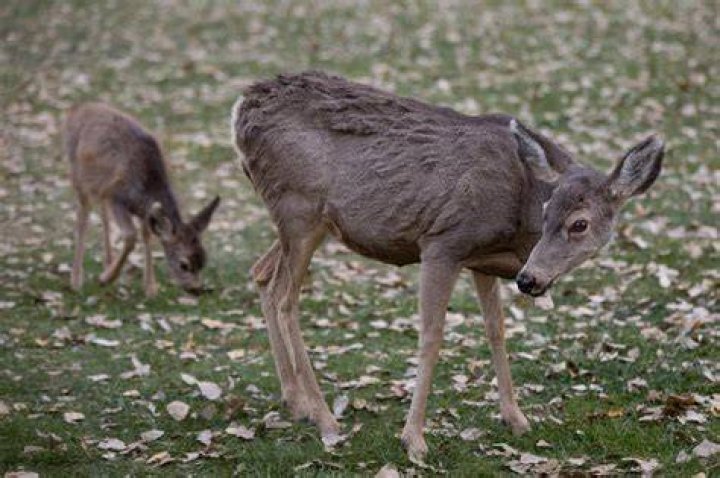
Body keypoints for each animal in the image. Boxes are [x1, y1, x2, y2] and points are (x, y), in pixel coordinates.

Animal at [64, 103, 220, 297]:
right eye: (183, 265)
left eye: (203, 260)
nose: (196, 289)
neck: (146, 189)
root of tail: (78, 108)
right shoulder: (117, 197)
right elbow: (131, 235)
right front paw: (106, 279)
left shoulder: (142, 209)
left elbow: (147, 235)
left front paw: (150, 288)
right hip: (78, 173)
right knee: (82, 217)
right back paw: (76, 280)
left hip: (99, 184)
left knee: (101, 210)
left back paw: (107, 262)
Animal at [230, 72, 663, 460]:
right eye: (547, 212)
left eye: (578, 223)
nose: (529, 279)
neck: (516, 222)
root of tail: (240, 110)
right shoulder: (444, 241)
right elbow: (432, 335)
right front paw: (414, 439)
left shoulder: (482, 261)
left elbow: (496, 331)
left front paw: (516, 418)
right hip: (299, 206)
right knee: (285, 298)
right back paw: (325, 419)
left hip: (305, 221)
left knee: (262, 273)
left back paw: (296, 403)